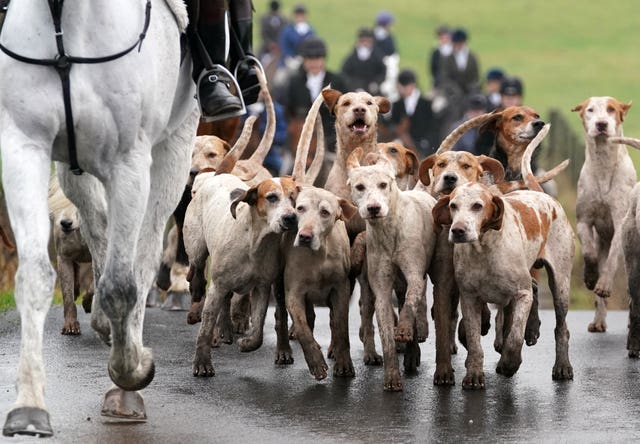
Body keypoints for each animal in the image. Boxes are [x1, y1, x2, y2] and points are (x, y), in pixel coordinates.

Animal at [0, 0, 199, 438]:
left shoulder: (129, 164)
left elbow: (122, 286)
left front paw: (131, 370)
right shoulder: (25, 147)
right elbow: (36, 276)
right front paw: (28, 405)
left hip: (173, 150)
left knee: (145, 248)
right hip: (74, 171)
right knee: (98, 226)